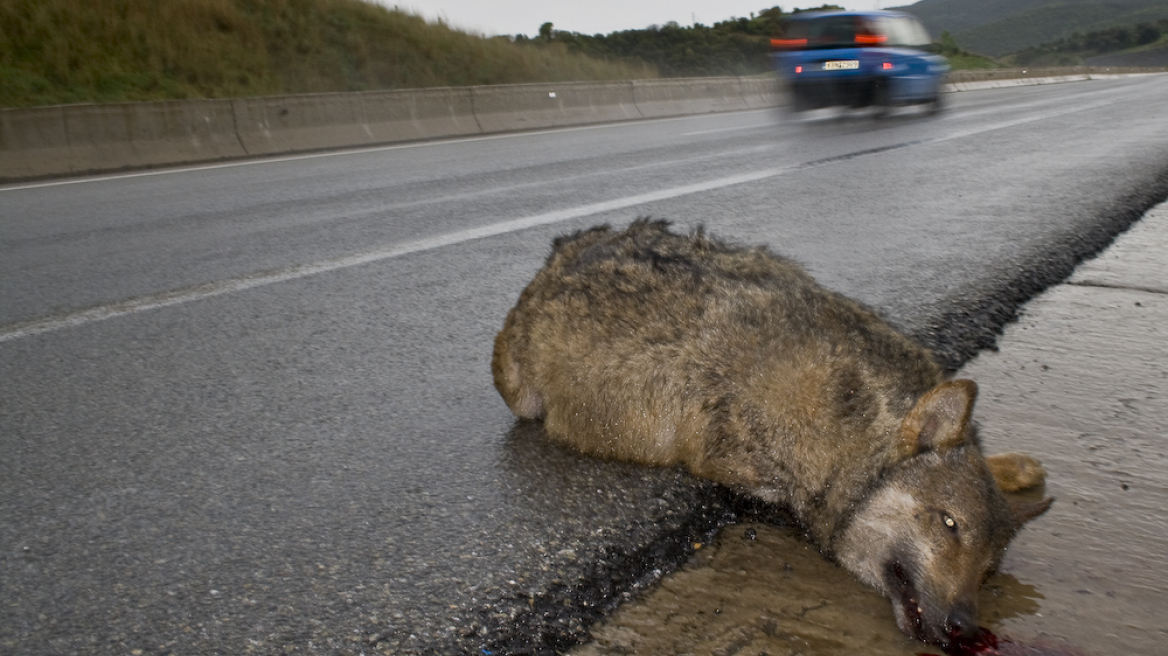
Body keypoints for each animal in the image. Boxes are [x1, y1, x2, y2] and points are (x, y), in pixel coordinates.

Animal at [488, 218, 1055, 644]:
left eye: (988, 570)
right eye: (949, 524)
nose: (965, 627)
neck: (852, 422)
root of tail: (560, 252)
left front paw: (1012, 466)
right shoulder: (739, 458)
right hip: (521, 389)